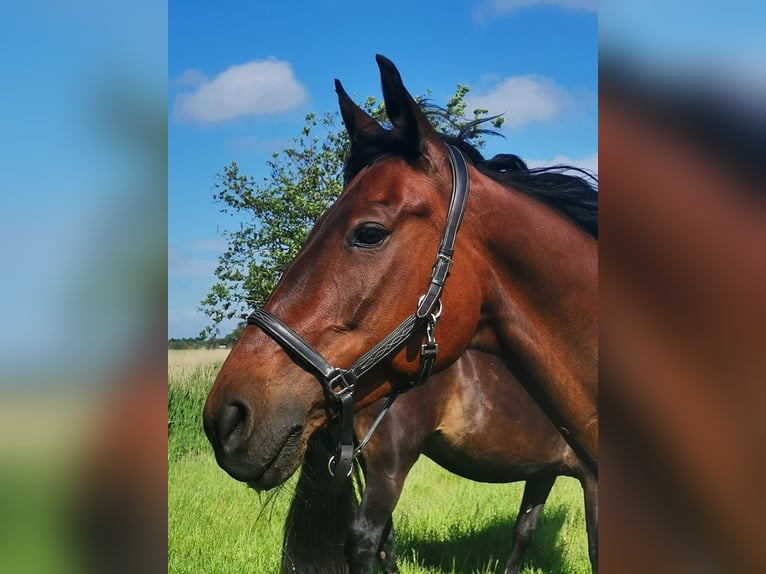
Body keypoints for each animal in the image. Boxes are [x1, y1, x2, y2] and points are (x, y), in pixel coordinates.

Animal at [281, 349, 597, 574]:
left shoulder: (541, 474)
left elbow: (523, 532)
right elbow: (595, 547)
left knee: (385, 543)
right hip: (390, 470)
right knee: (365, 540)